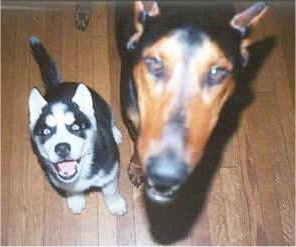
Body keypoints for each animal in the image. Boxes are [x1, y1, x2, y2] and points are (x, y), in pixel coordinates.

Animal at [28, 35, 127, 215]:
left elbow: (110, 190)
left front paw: (115, 204)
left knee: (110, 118)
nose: (62, 148)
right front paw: (75, 200)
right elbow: (71, 190)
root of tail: (58, 85)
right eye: (46, 131)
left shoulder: (110, 171)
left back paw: (115, 133)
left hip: (102, 103)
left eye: (75, 128)